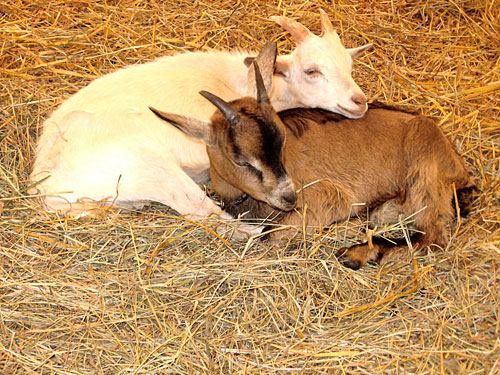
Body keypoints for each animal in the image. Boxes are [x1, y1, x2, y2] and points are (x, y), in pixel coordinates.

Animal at [28, 11, 372, 220]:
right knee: (205, 212)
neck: (235, 80)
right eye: (311, 70)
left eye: (349, 66)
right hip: (153, 169)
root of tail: (44, 181)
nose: (359, 102)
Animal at [150, 63, 474, 268]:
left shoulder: (327, 198)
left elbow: (271, 237)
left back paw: (357, 254)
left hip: (425, 168)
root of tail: (457, 164)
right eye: (240, 159)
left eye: (282, 142)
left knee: (433, 236)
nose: (289, 197)